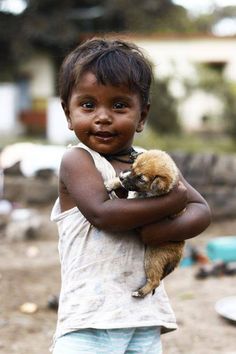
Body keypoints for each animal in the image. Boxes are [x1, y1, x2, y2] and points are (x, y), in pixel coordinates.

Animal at [104, 149, 184, 298]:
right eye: (132, 167)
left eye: (141, 179)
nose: (122, 177)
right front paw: (112, 183)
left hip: (152, 258)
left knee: (155, 280)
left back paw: (139, 292)